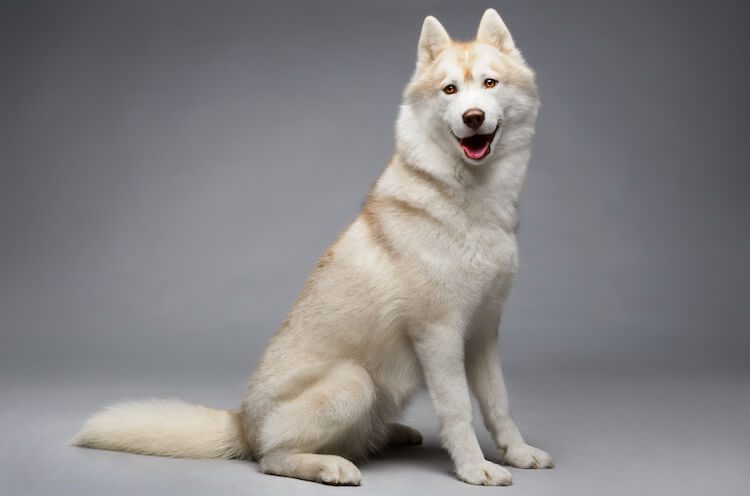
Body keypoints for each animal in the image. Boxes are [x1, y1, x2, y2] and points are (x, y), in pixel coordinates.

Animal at [73, 7, 556, 486]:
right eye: (450, 90)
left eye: (490, 83)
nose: (473, 116)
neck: (474, 202)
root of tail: (241, 421)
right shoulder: (439, 334)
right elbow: (457, 410)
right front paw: (474, 467)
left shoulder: (483, 333)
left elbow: (498, 403)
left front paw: (517, 453)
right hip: (354, 381)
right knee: (272, 457)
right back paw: (329, 465)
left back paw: (390, 434)